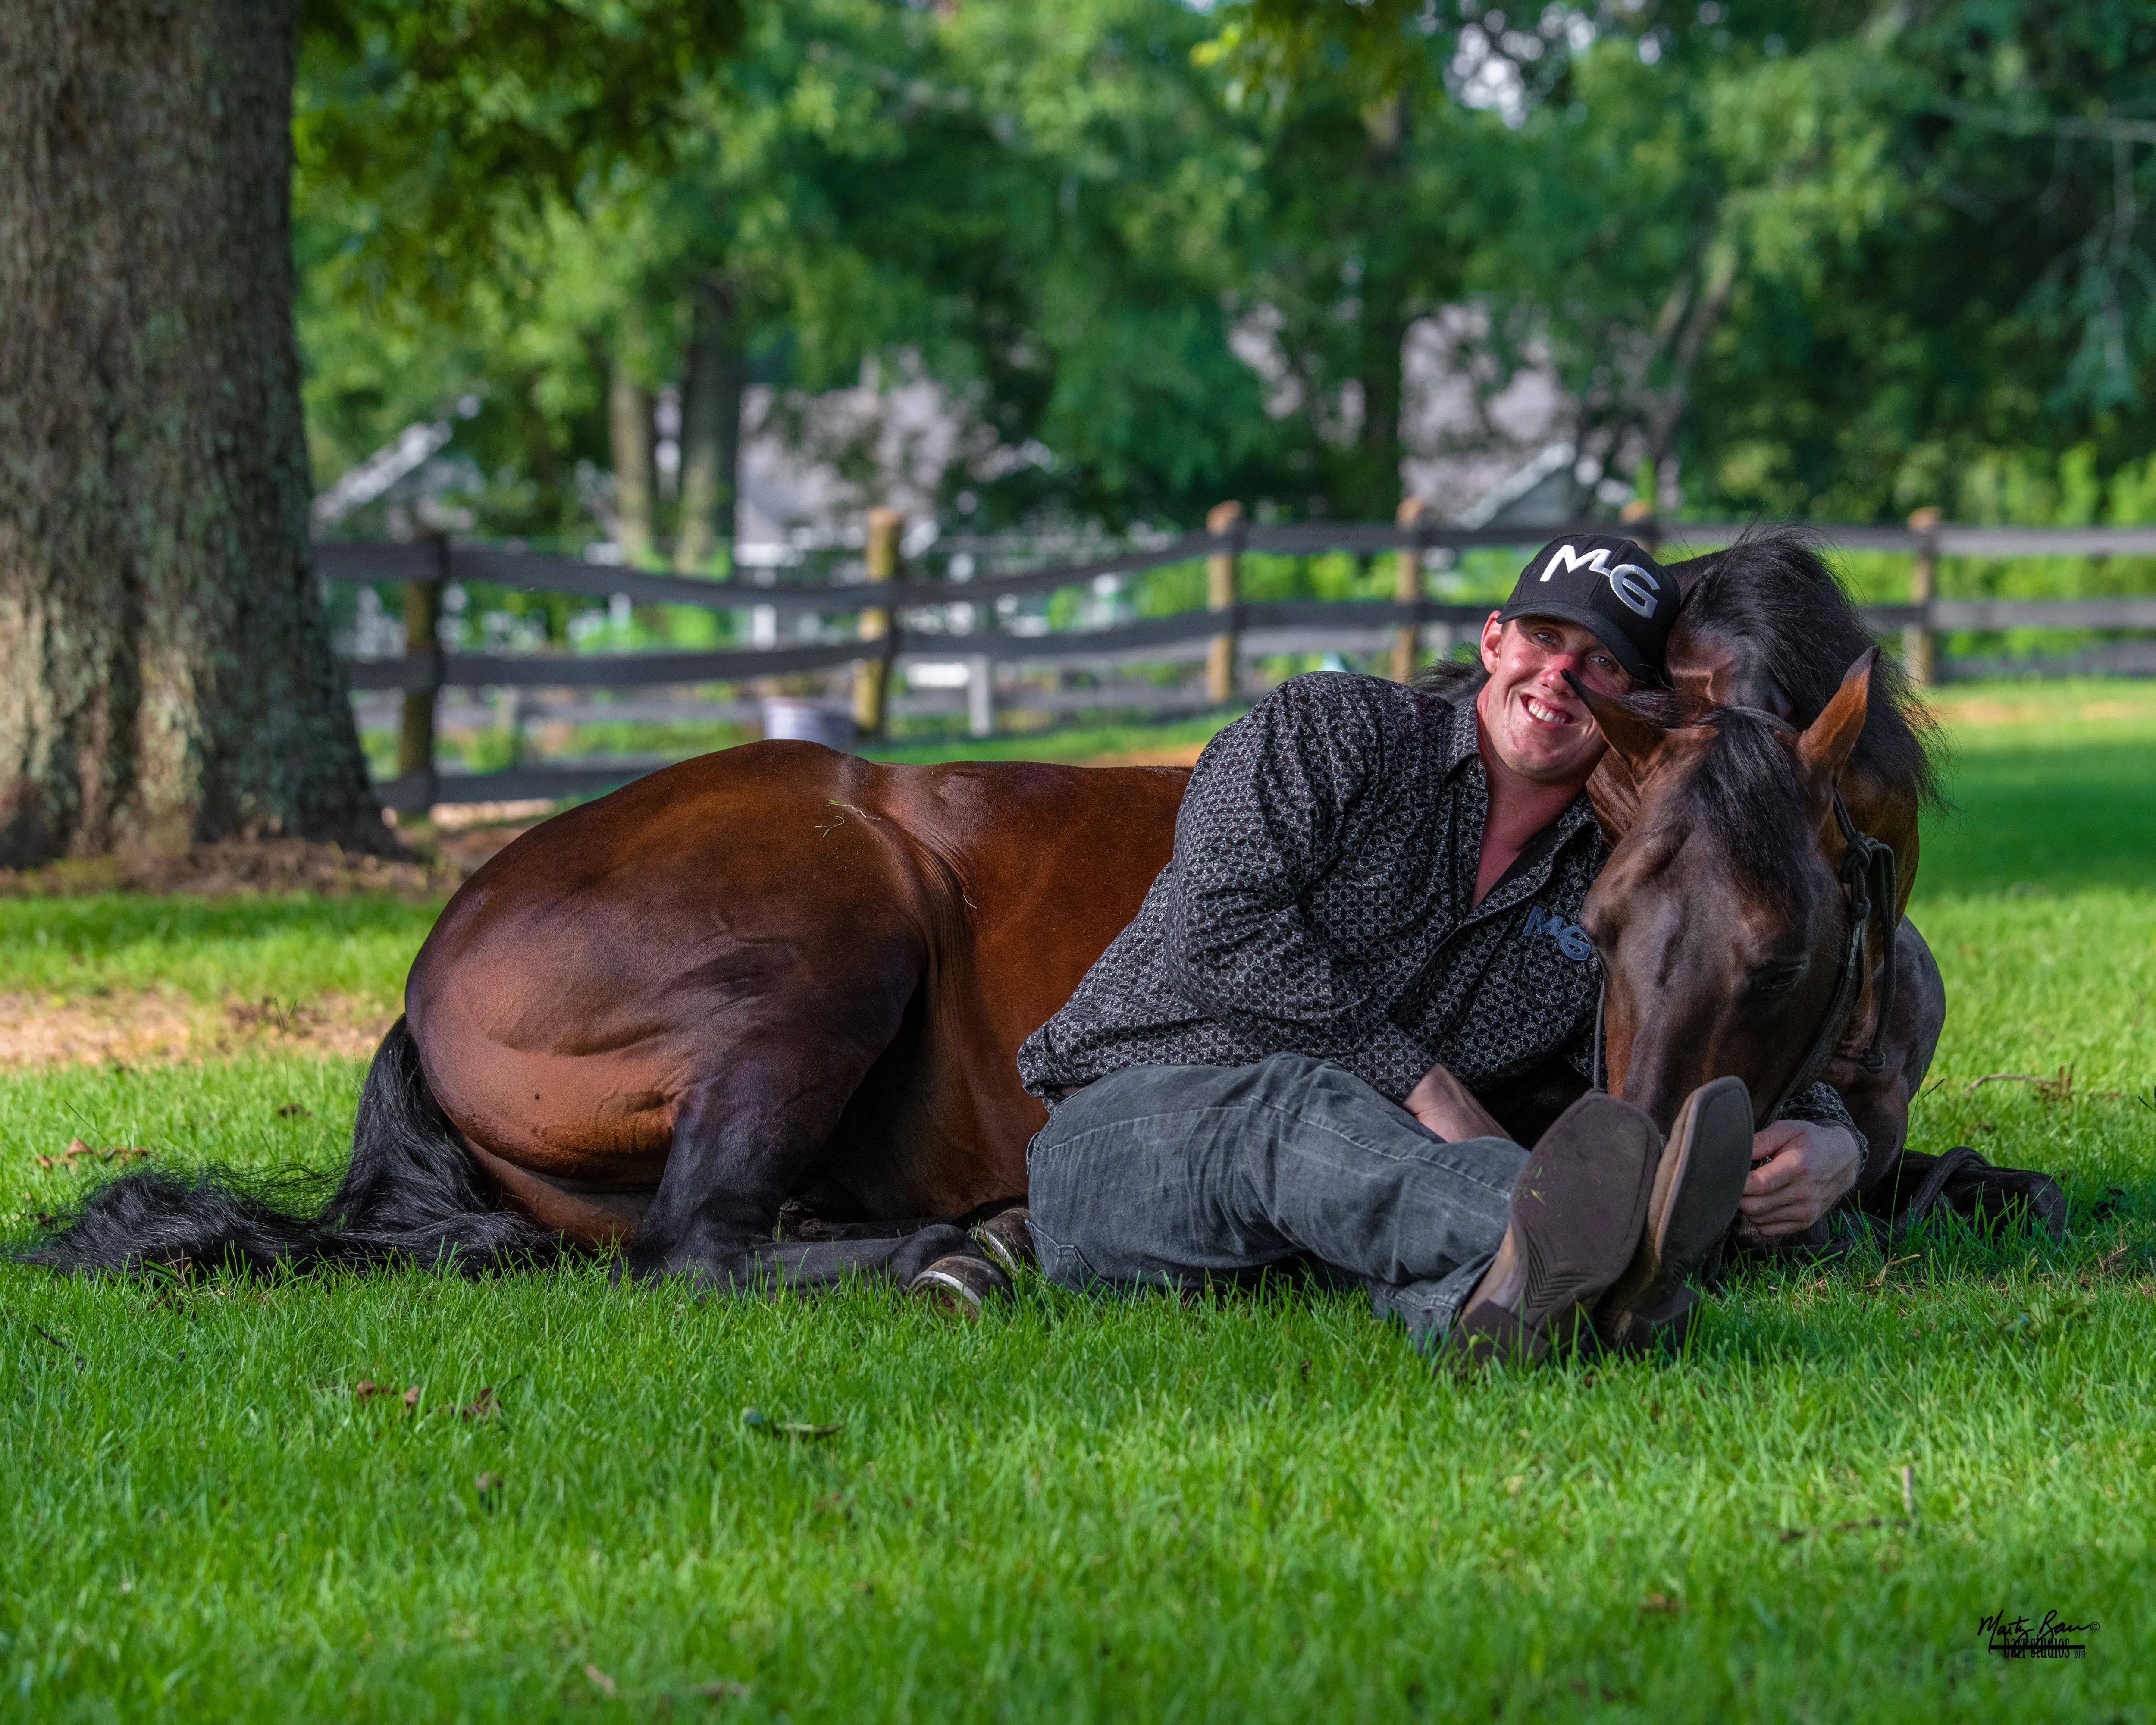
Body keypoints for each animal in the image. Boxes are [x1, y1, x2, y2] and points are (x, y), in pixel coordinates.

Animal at [29, 526, 1958, 1294]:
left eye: (1782, 944)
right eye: (1601, 921)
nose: (1650, 1171)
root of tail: (446, 944)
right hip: (829, 937)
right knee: (699, 1245)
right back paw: (961, 1246)